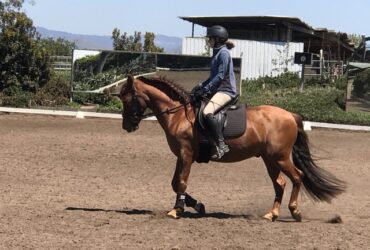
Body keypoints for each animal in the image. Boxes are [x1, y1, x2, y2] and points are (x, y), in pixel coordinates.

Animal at [117, 74, 346, 221]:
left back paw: (295, 212)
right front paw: (197, 205)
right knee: (280, 183)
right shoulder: (180, 156)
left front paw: (176, 210)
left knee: (297, 177)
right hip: (269, 159)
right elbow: (174, 183)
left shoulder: (186, 153)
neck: (179, 114)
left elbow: (180, 182)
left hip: (280, 157)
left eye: (128, 99)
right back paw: (271, 214)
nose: (127, 126)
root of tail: (291, 115)